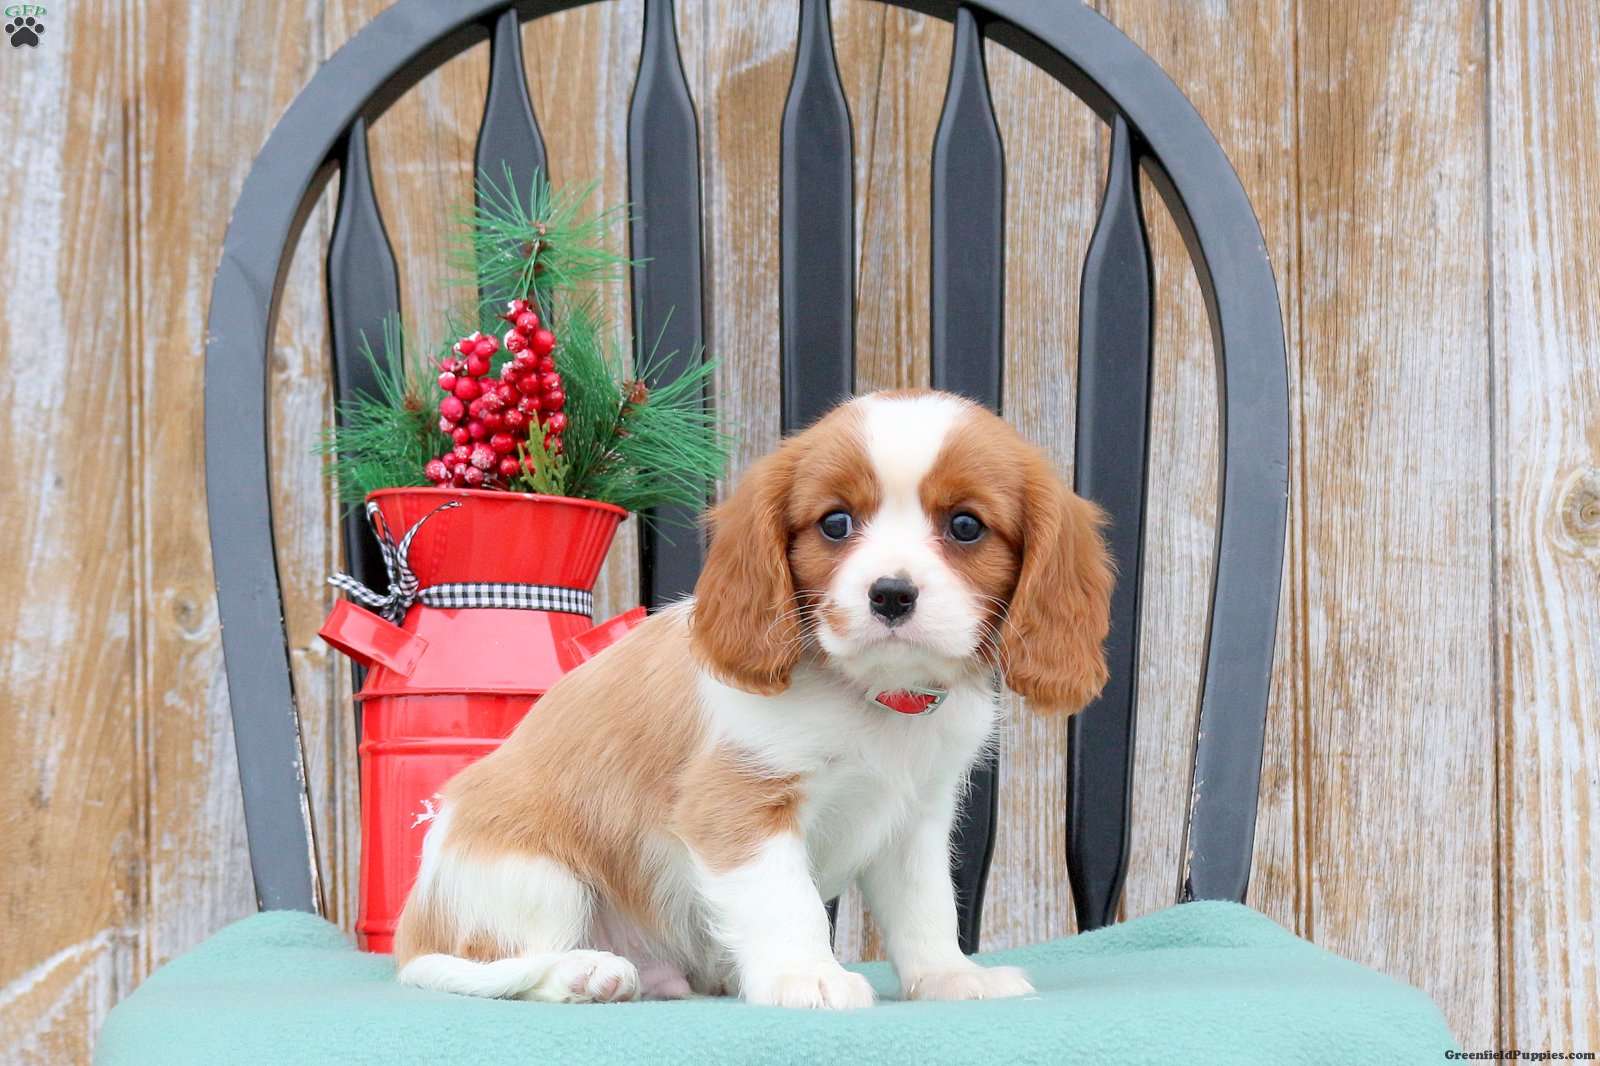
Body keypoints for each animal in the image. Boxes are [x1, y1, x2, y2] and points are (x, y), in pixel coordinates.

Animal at [394, 390, 1113, 1008]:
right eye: (835, 523)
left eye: (966, 526)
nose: (890, 594)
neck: (872, 695)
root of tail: (411, 935)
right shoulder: (738, 804)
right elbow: (785, 899)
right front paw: (806, 975)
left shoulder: (915, 821)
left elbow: (925, 907)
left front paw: (948, 976)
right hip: (534, 874)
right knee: (506, 962)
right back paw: (585, 972)